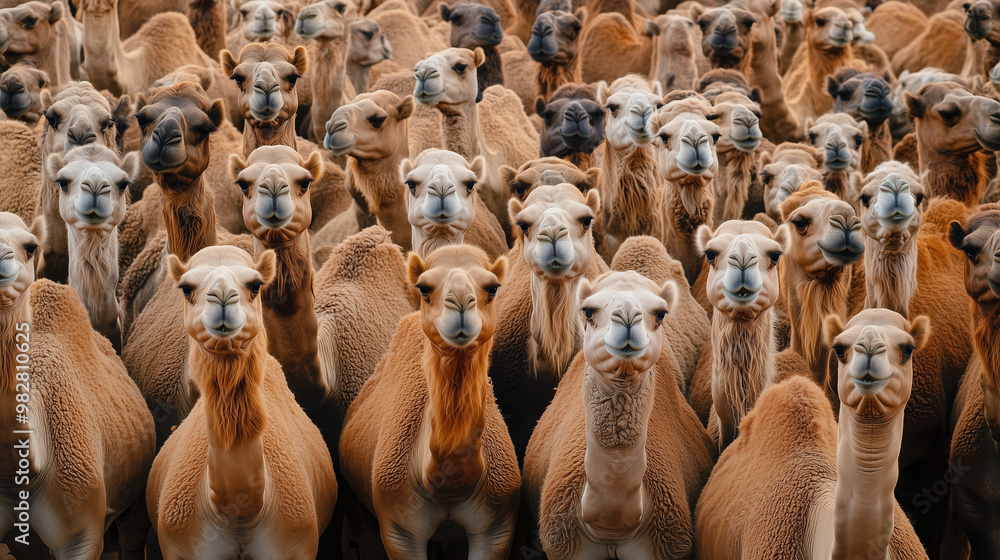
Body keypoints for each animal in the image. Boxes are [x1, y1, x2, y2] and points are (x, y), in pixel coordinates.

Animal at [149, 245, 337, 559]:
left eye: (255, 285)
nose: (223, 296)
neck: (240, 516)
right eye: (186, 288)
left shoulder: (296, 546)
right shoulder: (181, 548)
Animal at [339, 245, 520, 559]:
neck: (449, 488)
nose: (460, 302)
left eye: (493, 288)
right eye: (424, 288)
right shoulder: (400, 529)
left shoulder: (496, 528)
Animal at [523, 269, 715, 560]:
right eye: (588, 311)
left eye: (660, 313)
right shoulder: (565, 545)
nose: (626, 317)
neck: (611, 525)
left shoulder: (665, 545)